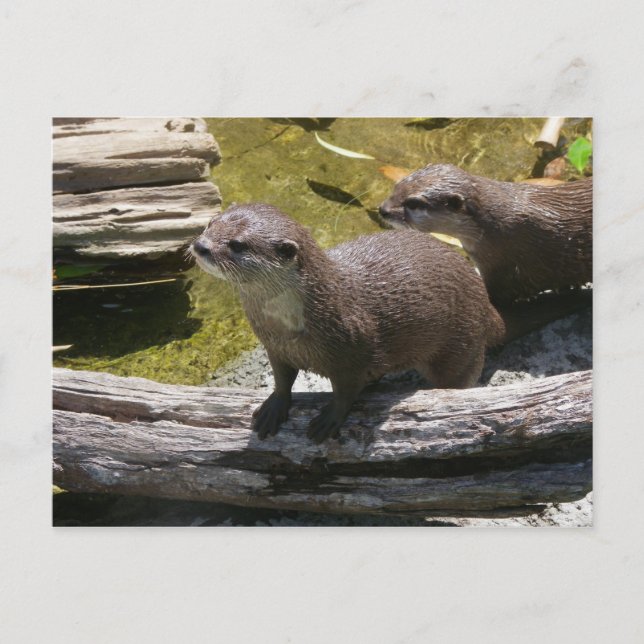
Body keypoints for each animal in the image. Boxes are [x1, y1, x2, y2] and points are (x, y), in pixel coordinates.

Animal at [191, 203, 504, 443]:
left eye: (237, 244)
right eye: (210, 223)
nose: (200, 245)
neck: (290, 328)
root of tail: (484, 300)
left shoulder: (352, 349)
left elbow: (346, 391)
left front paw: (330, 418)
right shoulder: (275, 347)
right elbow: (282, 379)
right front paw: (274, 406)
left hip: (462, 344)